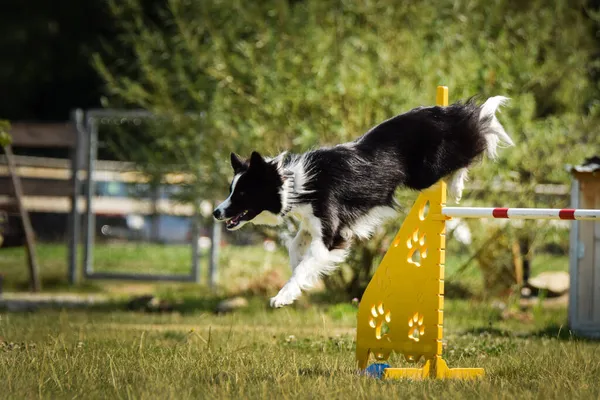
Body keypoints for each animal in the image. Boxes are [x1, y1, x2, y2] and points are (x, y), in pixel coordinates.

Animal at [211, 96, 510, 306]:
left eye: (242, 193)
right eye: (230, 189)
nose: (216, 212)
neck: (294, 184)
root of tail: (445, 111)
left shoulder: (331, 234)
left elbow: (308, 261)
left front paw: (283, 295)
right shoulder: (311, 224)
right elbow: (295, 248)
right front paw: (298, 280)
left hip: (425, 173)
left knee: (474, 141)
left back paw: (458, 183)